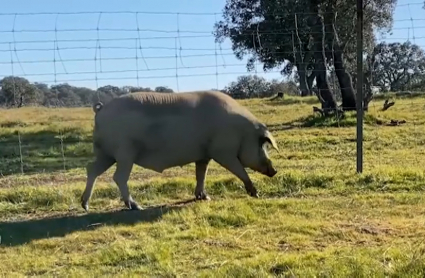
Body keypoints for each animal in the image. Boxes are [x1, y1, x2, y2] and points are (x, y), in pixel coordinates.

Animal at [80, 90, 278, 212]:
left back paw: (85, 205)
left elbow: (201, 174)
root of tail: (101, 110)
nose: (275, 171)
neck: (241, 132)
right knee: (118, 177)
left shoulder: (204, 155)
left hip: (106, 153)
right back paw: (136, 207)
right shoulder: (223, 152)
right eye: (263, 145)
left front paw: (204, 197)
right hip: (125, 153)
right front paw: (256, 194)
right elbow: (239, 170)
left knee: (92, 169)